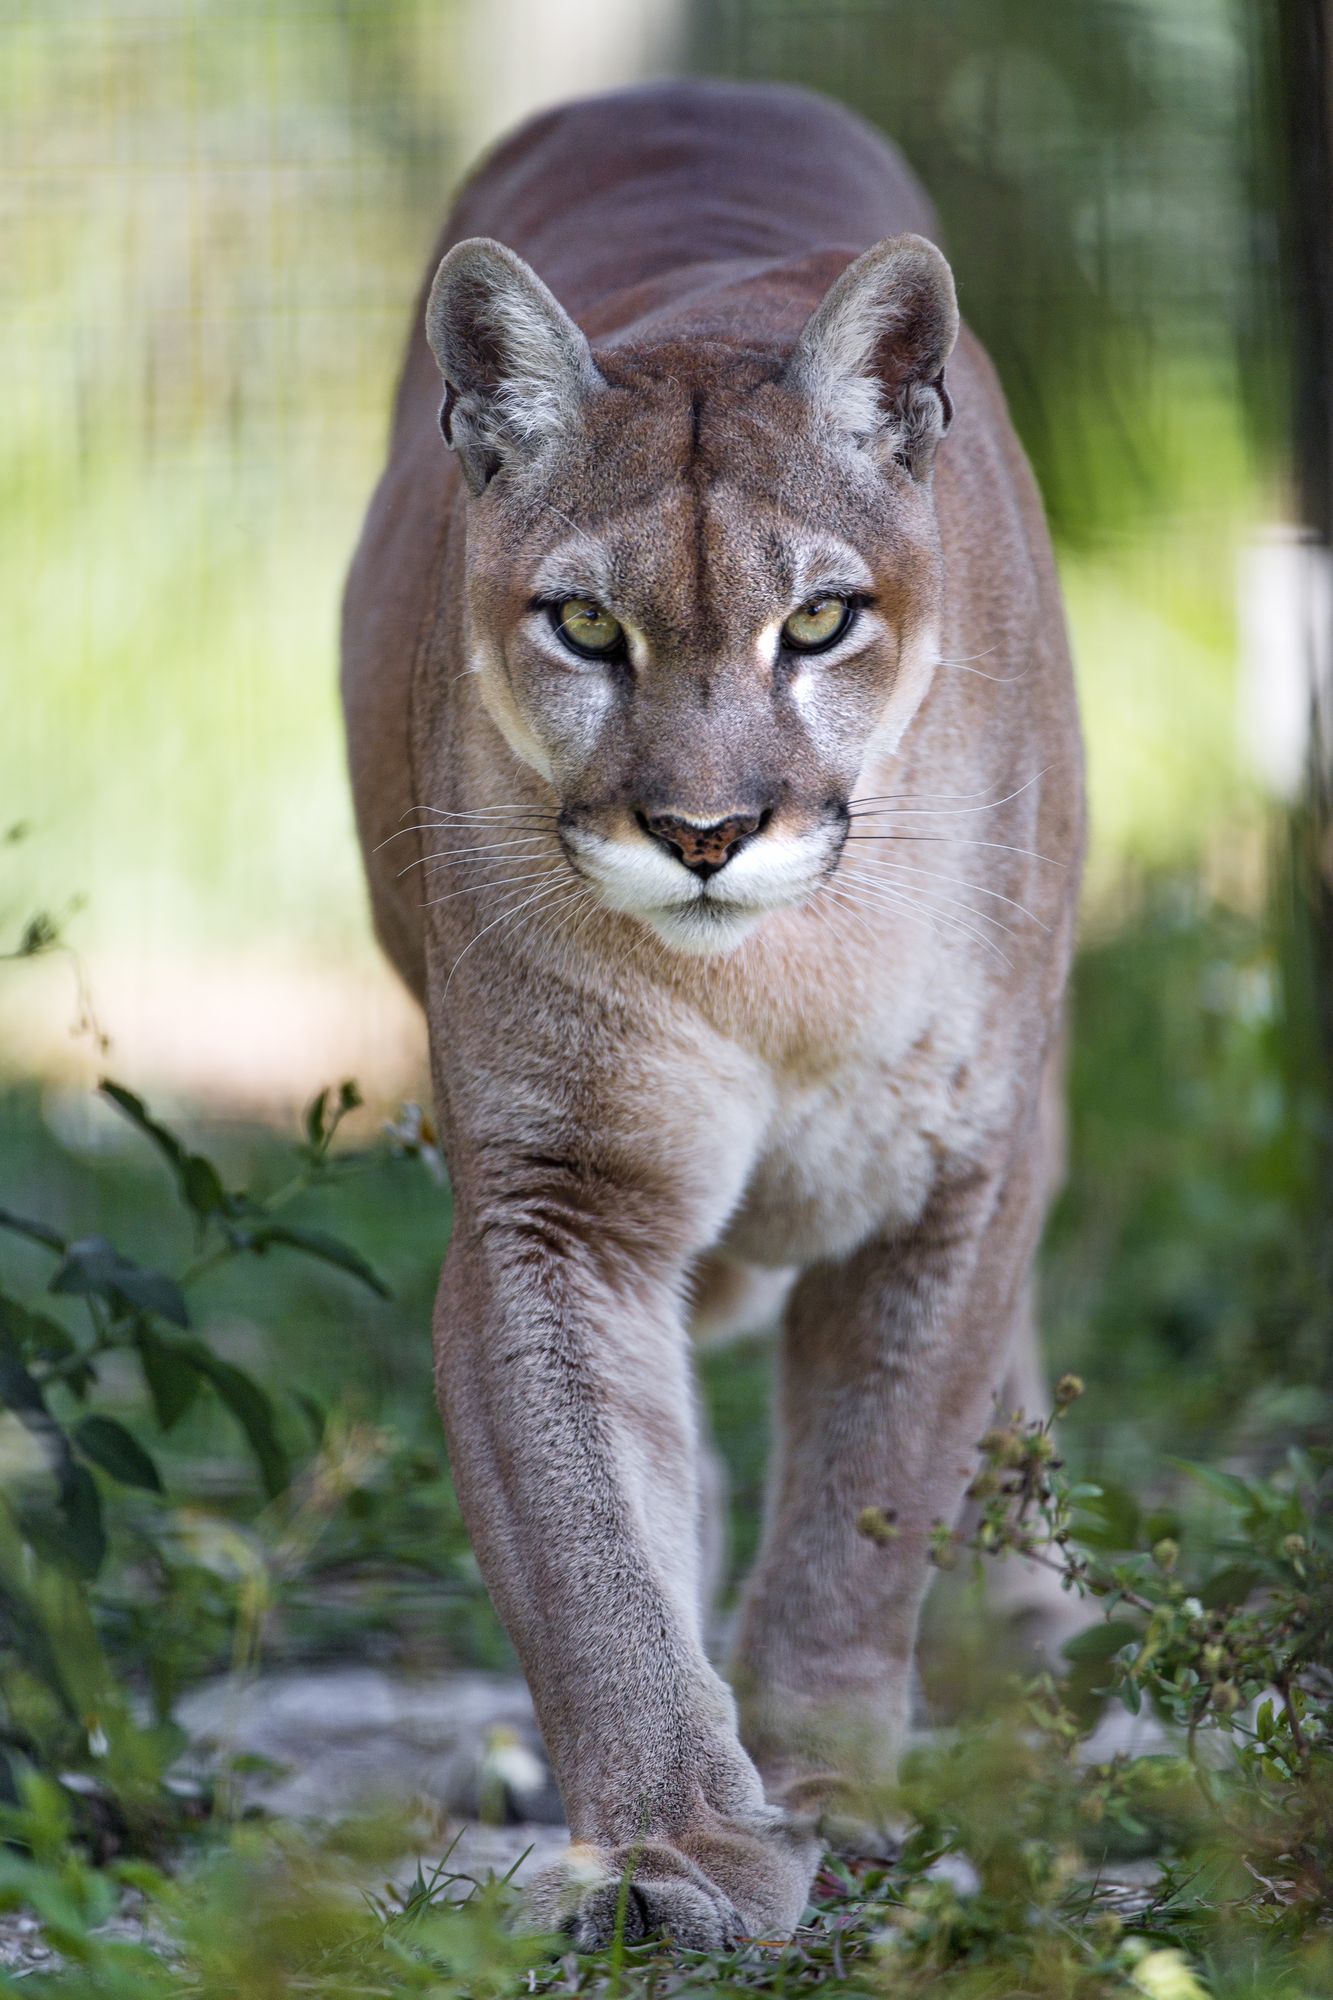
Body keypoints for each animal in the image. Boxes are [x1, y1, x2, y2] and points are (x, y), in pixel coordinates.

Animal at [342, 82, 1080, 1952]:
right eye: (583, 623)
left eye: (814, 617)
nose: (699, 831)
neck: (778, 981)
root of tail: (681, 89)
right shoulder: (553, 1198)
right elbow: (585, 1518)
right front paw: (676, 1839)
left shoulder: (954, 1176)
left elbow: (869, 1499)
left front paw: (826, 1780)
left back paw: (1035, 1628)